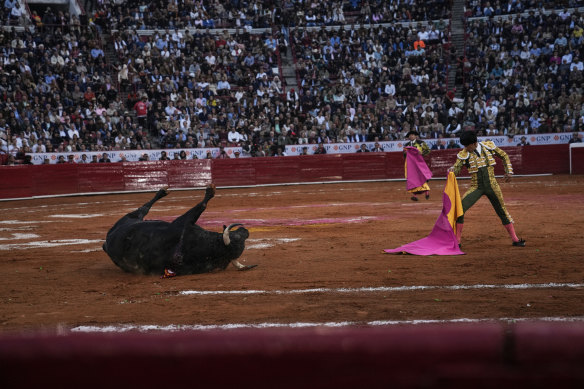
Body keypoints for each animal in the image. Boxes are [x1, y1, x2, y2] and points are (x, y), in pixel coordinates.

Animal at [102, 186, 256, 274]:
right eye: (237, 237)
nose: (245, 230)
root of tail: (106, 243)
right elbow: (202, 206)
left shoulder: (182, 224)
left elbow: (201, 206)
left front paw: (210, 191)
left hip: (130, 217)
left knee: (143, 208)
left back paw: (162, 192)